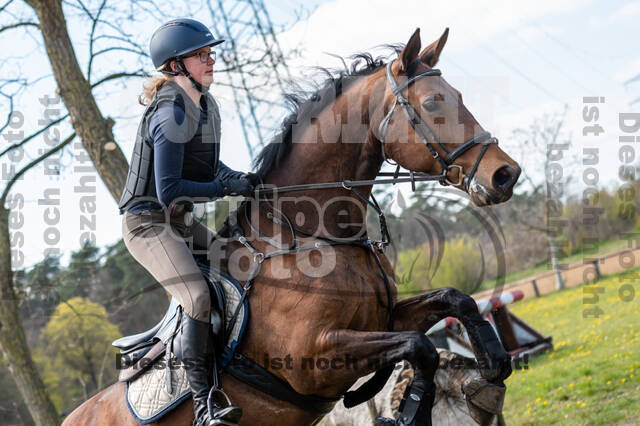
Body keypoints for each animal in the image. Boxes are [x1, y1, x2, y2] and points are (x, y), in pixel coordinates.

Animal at [62, 28, 516, 424]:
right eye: (435, 102)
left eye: (458, 96)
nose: (505, 175)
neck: (316, 234)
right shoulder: (314, 361)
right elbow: (421, 348)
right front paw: (408, 413)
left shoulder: (384, 319)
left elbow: (456, 299)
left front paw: (493, 362)